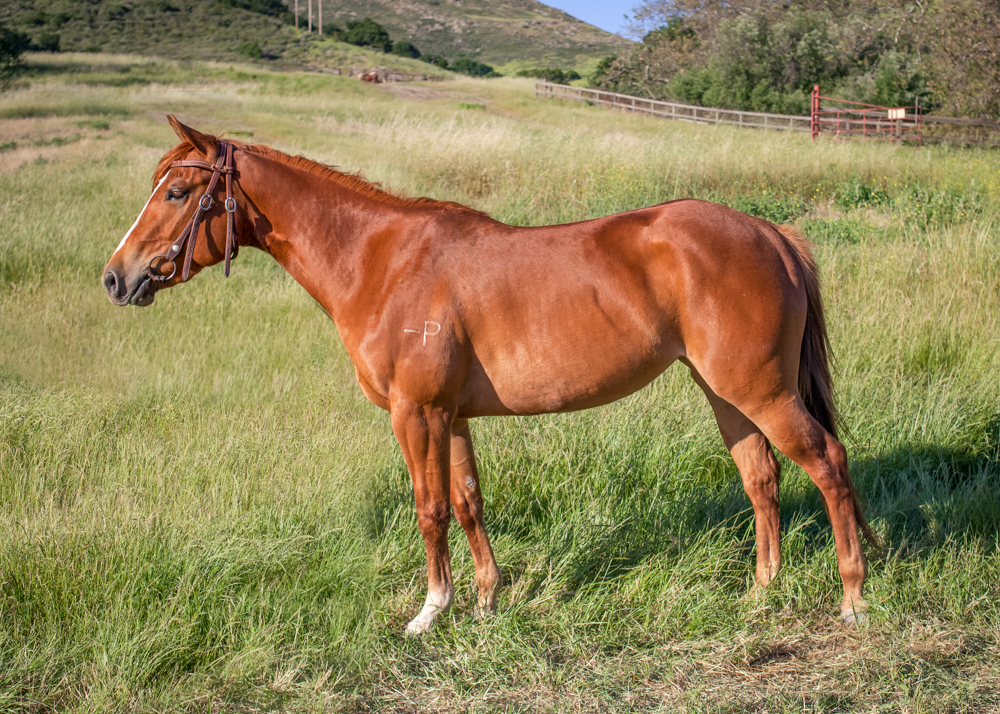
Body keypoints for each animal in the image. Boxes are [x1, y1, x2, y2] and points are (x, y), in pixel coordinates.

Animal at [103, 116, 876, 634]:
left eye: (177, 193)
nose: (116, 278)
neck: (382, 261)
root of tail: (769, 232)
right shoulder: (452, 416)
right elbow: (469, 501)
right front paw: (485, 599)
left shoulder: (415, 413)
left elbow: (430, 507)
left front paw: (431, 612)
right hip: (727, 394)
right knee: (762, 479)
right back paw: (761, 593)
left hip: (762, 392)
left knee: (828, 465)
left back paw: (852, 598)